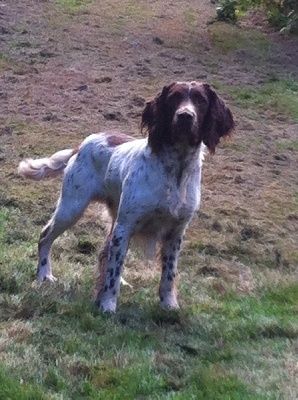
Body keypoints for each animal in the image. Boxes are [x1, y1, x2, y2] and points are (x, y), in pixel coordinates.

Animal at [18, 81, 234, 312]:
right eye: (174, 98)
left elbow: (169, 275)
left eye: (200, 100)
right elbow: (114, 271)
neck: (175, 168)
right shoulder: (126, 226)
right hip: (72, 207)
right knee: (46, 236)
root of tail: (83, 144)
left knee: (106, 252)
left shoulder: (176, 232)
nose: (185, 116)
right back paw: (44, 275)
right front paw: (107, 306)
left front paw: (169, 305)